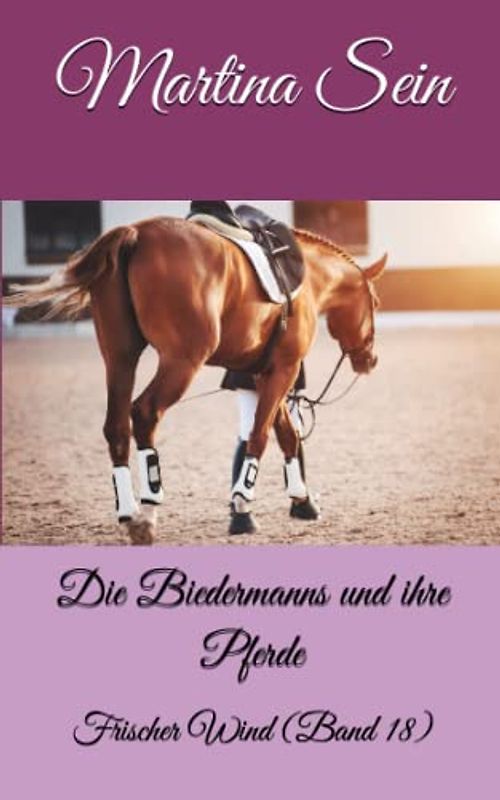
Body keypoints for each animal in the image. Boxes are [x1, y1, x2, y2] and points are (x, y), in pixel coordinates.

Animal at [6, 216, 386, 543]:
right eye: (375, 302)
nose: (370, 359)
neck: (308, 279)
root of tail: (136, 232)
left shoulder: (264, 373)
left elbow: (285, 435)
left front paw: (302, 501)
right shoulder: (284, 369)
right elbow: (261, 436)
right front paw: (243, 504)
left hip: (120, 358)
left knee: (116, 427)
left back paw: (128, 512)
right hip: (182, 362)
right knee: (144, 413)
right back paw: (149, 510)